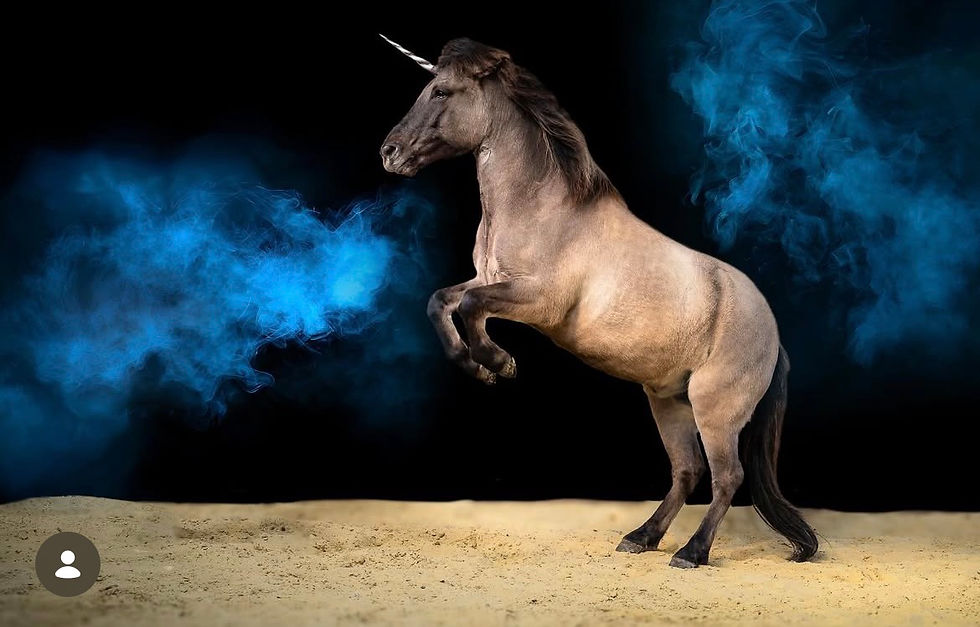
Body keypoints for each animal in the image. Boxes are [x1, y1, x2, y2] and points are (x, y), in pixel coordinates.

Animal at [379, 36, 818, 568]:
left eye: (441, 91)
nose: (389, 152)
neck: (542, 208)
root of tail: (774, 337)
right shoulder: (487, 280)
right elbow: (441, 301)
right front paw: (479, 368)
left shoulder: (537, 303)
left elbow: (470, 308)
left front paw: (500, 363)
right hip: (668, 402)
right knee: (687, 472)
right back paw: (641, 537)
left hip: (715, 408)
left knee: (726, 477)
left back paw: (691, 553)